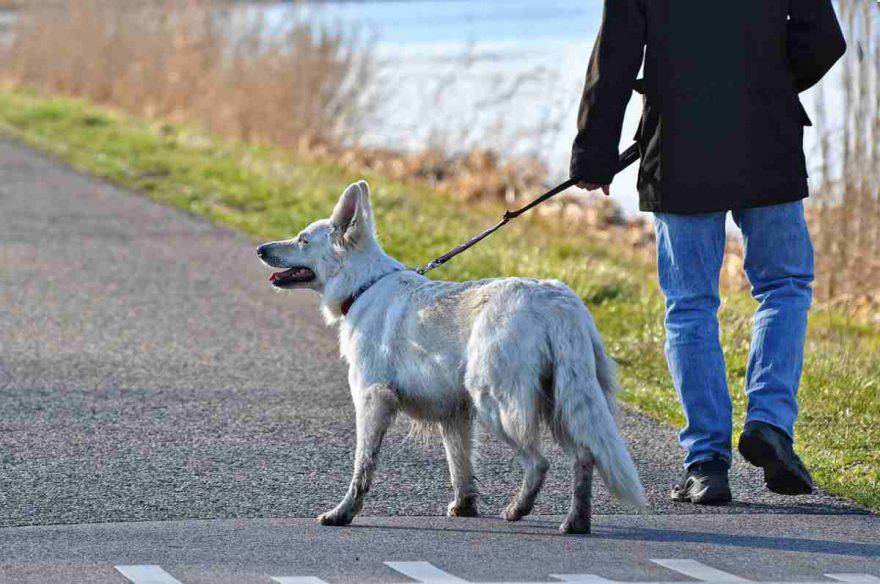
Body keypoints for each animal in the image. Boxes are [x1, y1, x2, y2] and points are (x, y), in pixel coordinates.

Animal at [254, 182, 648, 532]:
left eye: (303, 239)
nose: (260, 248)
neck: (363, 286)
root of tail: (556, 300)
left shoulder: (372, 400)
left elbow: (363, 466)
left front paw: (343, 513)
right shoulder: (454, 414)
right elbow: (460, 466)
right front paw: (465, 506)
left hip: (497, 404)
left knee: (539, 462)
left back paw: (518, 509)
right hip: (562, 402)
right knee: (585, 457)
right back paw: (576, 522)